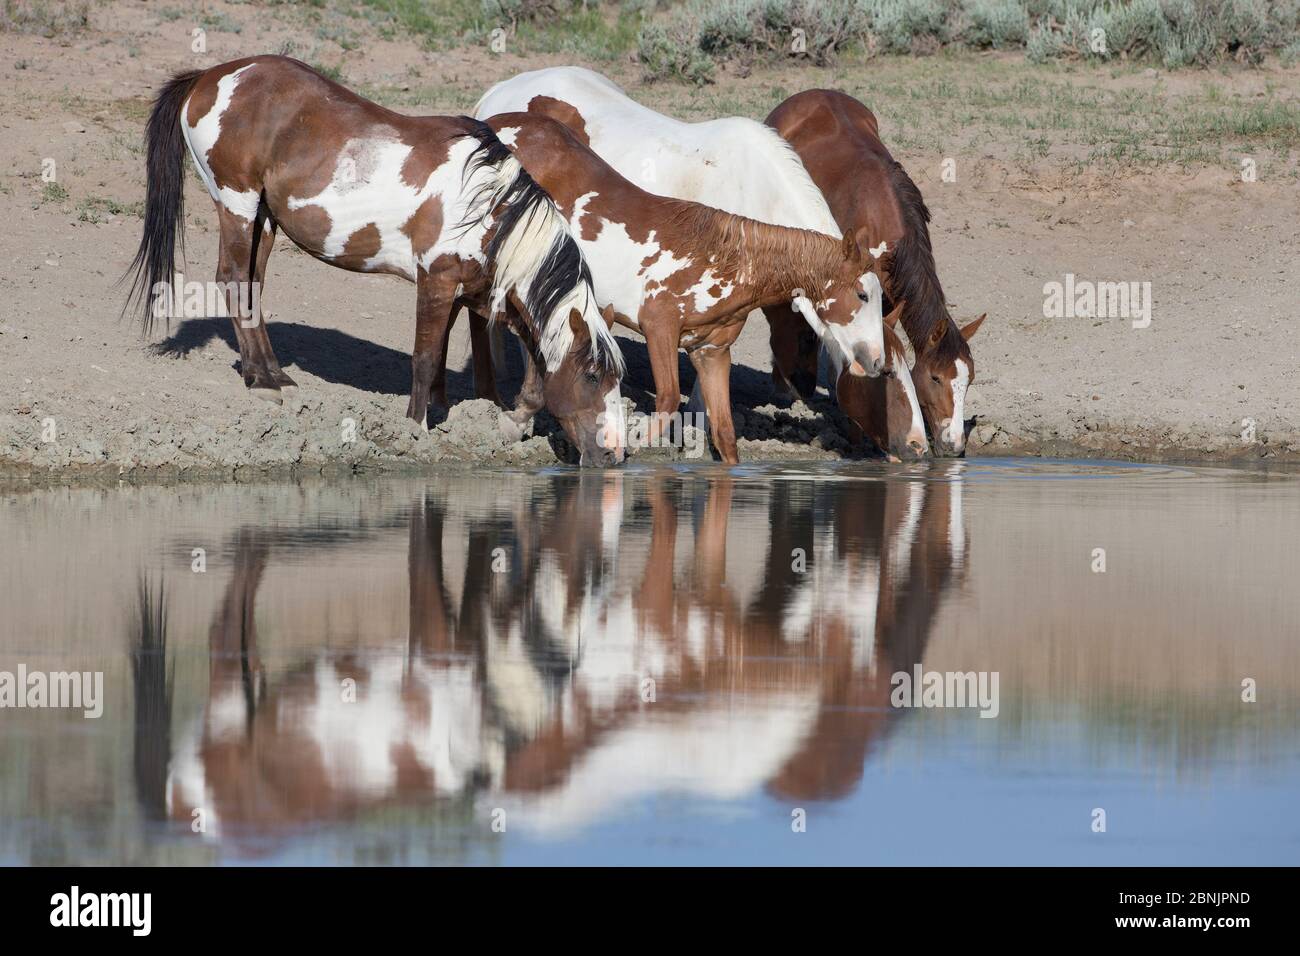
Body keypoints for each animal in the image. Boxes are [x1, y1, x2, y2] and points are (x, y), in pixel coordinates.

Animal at [122, 55, 624, 468]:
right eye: (593, 375)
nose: (615, 454)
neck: (487, 204)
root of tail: (210, 75)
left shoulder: (473, 290)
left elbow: (508, 361)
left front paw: (500, 417)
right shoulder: (437, 280)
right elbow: (425, 357)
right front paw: (416, 426)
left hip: (265, 216)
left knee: (251, 286)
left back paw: (272, 374)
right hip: (237, 203)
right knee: (232, 279)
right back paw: (260, 382)